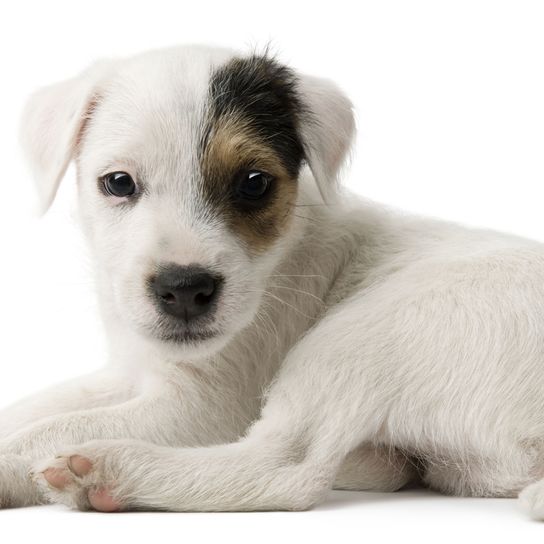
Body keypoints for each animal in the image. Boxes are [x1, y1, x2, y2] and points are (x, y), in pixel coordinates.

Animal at [1, 44, 544, 516]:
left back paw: (109, 471)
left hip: (359, 337)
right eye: (118, 183)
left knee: (286, 468)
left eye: (253, 183)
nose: (184, 289)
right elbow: (38, 407)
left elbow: (51, 428)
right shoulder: (129, 373)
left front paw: (13, 460)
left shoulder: (204, 408)